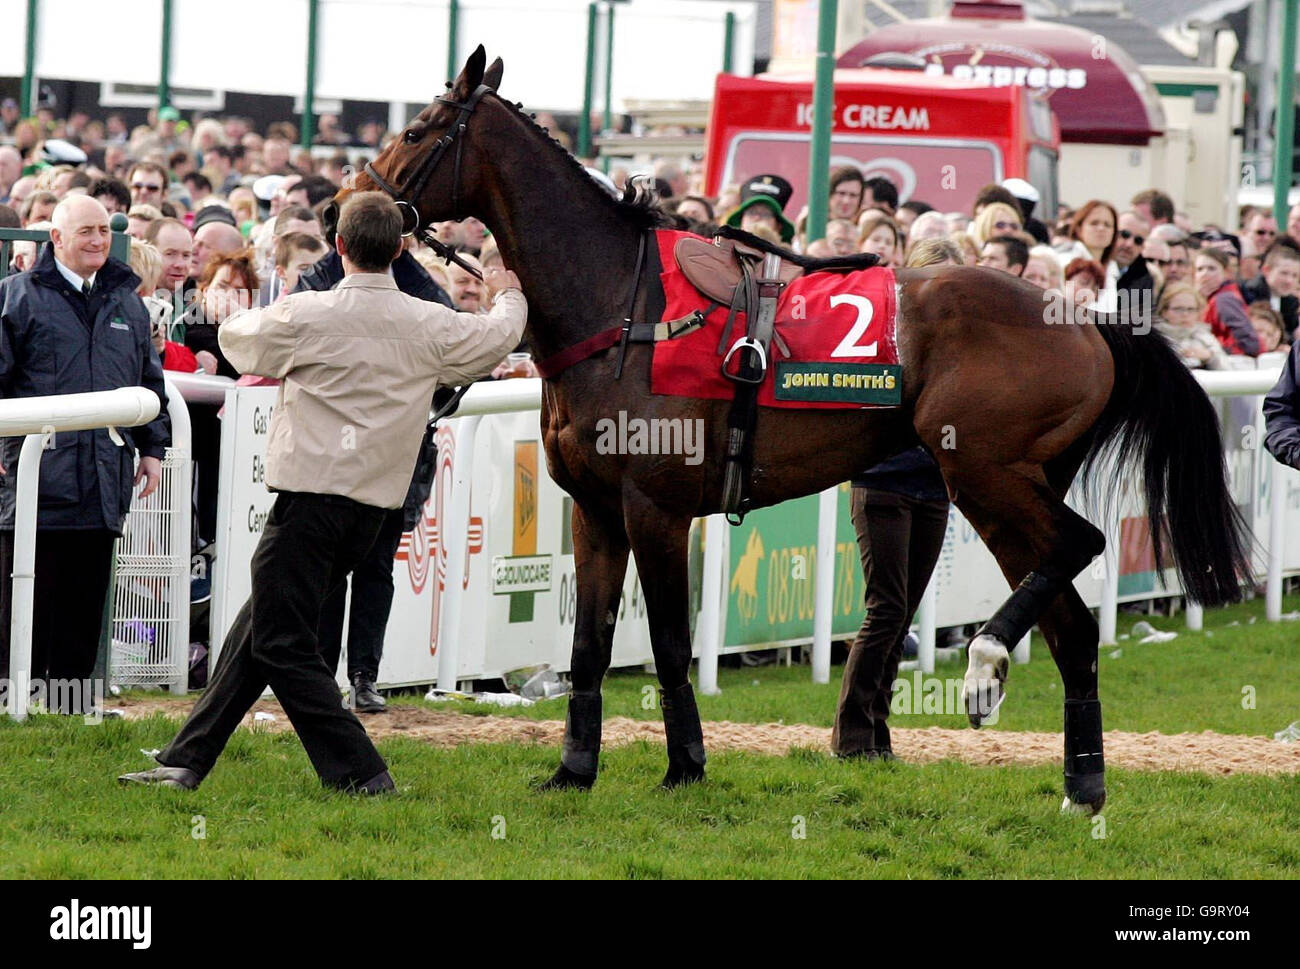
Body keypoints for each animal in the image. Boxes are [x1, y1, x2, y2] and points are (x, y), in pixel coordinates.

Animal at [345, 49, 1248, 811]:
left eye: (419, 130)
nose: (346, 202)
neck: (623, 306)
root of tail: (1088, 317)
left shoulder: (655, 509)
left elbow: (668, 641)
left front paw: (685, 764)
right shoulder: (594, 509)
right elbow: (589, 648)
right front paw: (573, 770)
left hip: (986, 474)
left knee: (1081, 546)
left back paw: (987, 664)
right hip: (1013, 486)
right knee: (1072, 623)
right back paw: (1079, 784)